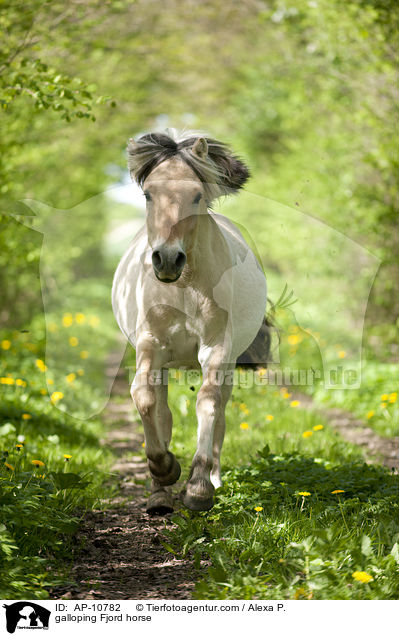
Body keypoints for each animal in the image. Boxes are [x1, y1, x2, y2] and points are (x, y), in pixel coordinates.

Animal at [111, 132, 268, 516]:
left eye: (197, 195)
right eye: (148, 194)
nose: (168, 259)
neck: (182, 287)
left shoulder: (216, 349)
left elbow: (207, 404)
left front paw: (198, 487)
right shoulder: (150, 344)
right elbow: (144, 399)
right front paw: (164, 470)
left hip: (228, 363)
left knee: (221, 410)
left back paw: (213, 478)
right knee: (162, 411)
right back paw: (159, 495)